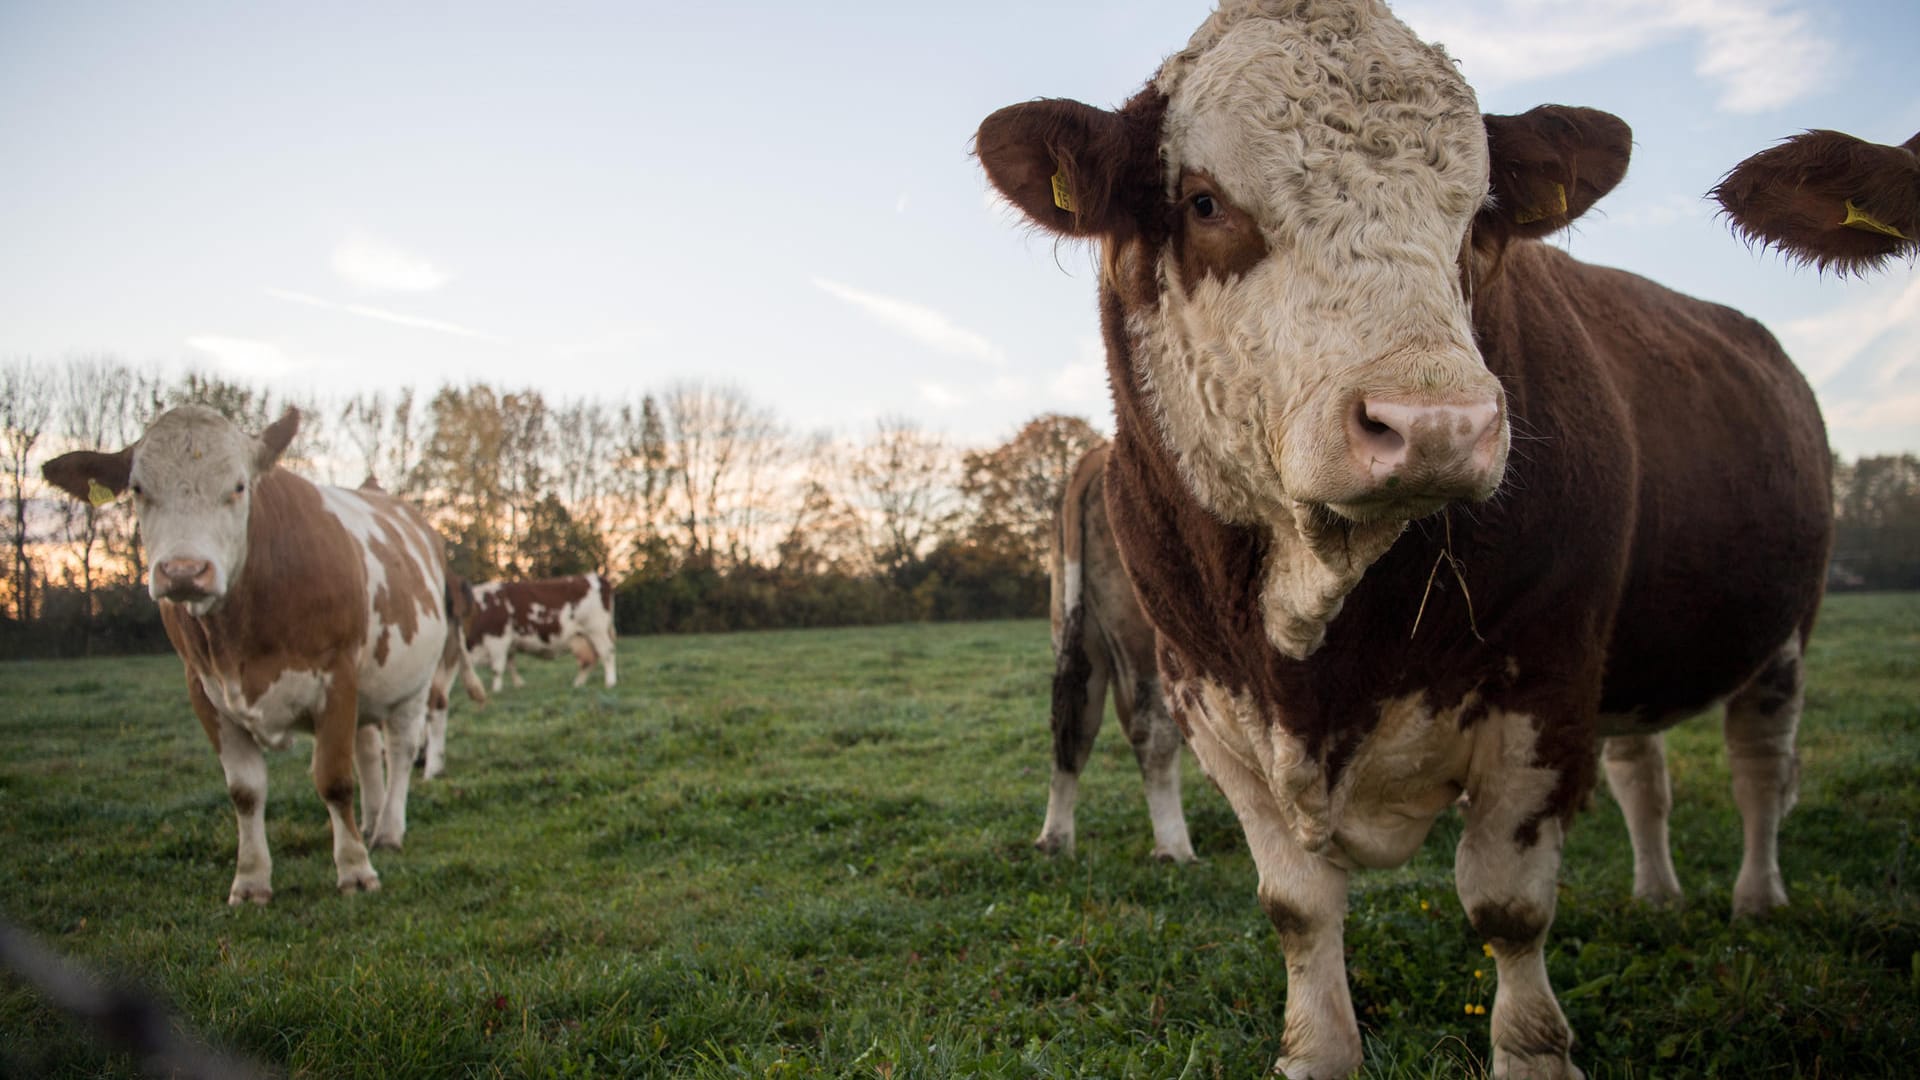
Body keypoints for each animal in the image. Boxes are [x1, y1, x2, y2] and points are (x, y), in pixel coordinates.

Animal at [42, 403, 468, 899]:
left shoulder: (338, 676)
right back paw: (370, 819)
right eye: (138, 489)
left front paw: (356, 870)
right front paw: (250, 880)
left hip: (412, 683)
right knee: (367, 751)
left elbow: (335, 780)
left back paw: (388, 831)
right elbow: (245, 791)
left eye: (239, 486)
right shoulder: (204, 689)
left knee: (399, 751)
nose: (184, 571)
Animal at [464, 572, 614, 687]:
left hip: (596, 630)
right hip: (581, 637)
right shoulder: (508, 644)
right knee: (589, 660)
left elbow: (497, 668)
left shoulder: (498, 639)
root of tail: (593, 577)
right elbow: (510, 664)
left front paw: (496, 690)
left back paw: (610, 682)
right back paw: (578, 684)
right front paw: (519, 685)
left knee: (607, 652)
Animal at [1044, 441, 1190, 860]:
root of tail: (1100, 451)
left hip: (1080, 635)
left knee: (1074, 725)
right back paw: (1175, 849)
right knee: (1153, 730)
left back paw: (1055, 841)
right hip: (1148, 639)